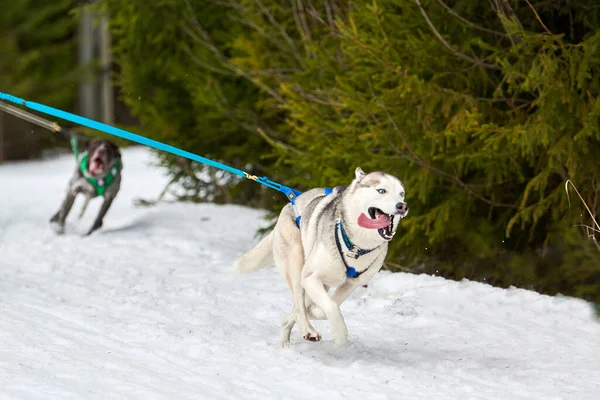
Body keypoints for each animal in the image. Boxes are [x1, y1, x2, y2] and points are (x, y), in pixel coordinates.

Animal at [234, 167, 408, 346]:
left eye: (401, 194)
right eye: (381, 191)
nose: (402, 206)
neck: (357, 246)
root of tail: (292, 201)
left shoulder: (350, 284)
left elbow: (327, 307)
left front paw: (313, 312)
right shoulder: (309, 276)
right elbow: (330, 306)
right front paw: (339, 332)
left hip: (321, 283)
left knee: (298, 307)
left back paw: (287, 339)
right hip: (297, 263)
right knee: (299, 303)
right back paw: (308, 330)